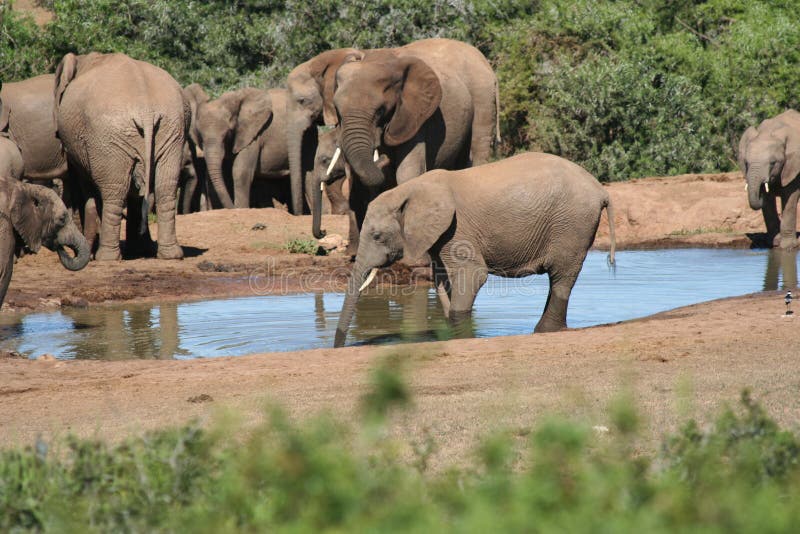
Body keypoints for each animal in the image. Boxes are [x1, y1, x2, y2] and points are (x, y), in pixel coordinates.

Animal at [54, 52, 189, 261]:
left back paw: (106, 257)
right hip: (172, 130)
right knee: (166, 187)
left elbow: (84, 186)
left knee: (114, 191)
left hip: (107, 138)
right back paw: (170, 254)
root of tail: (146, 109)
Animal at [322, 38, 499, 251]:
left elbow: (407, 171)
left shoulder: (415, 116)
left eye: (380, 111)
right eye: (338, 111)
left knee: (478, 150)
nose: (383, 156)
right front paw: (355, 253)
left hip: (483, 98)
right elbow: (355, 181)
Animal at [334, 152, 616, 348]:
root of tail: (601, 189)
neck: (410, 189)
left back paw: (544, 331)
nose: (339, 345)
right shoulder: (440, 235)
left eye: (377, 236)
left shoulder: (457, 228)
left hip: (572, 224)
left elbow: (473, 275)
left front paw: (462, 337)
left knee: (561, 276)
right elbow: (442, 281)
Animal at [739, 110, 800, 249]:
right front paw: (774, 243)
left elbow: (790, 198)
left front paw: (787, 246)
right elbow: (768, 203)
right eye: (746, 163)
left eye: (773, 163)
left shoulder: (793, 166)